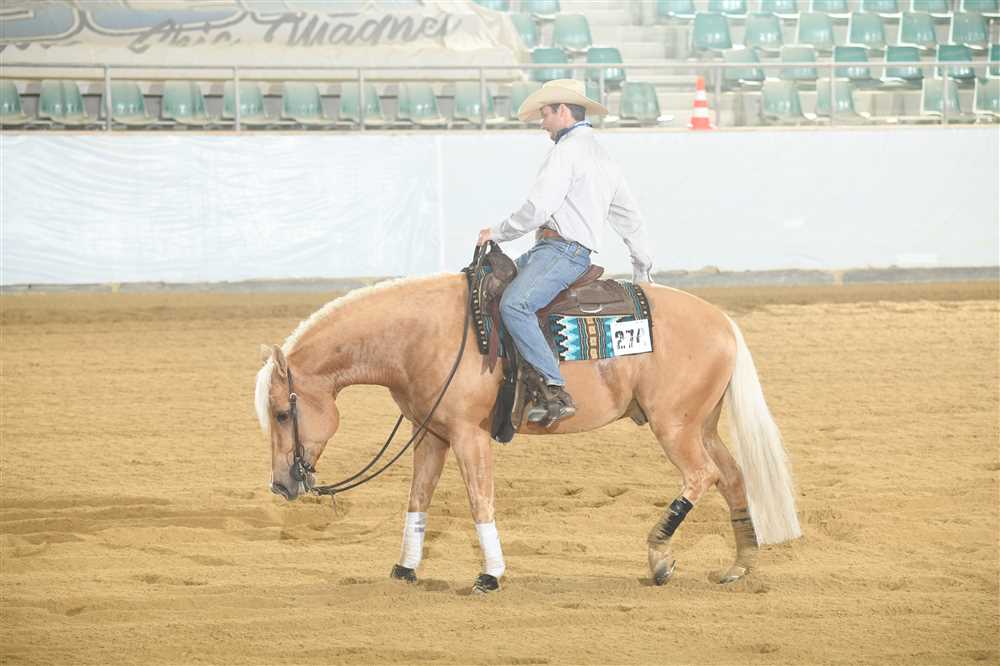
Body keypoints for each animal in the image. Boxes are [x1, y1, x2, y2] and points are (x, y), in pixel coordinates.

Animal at [254, 272, 801, 592]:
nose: (281, 485)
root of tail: (724, 321)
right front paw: (405, 569)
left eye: (282, 413)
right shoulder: (431, 434)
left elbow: (480, 501)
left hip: (674, 426)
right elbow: (418, 499)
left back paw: (659, 556)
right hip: (700, 423)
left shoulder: (469, 436)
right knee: (733, 476)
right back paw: (740, 564)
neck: (425, 335)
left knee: (701, 476)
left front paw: (490, 574)